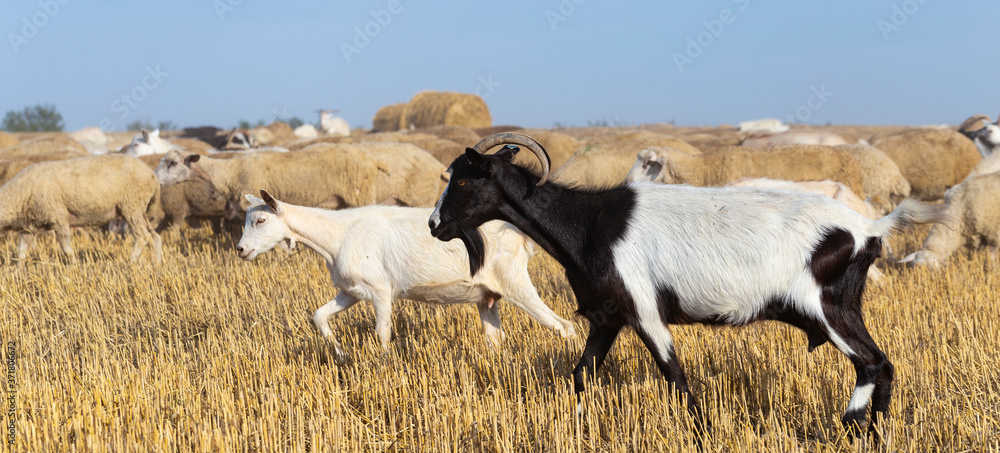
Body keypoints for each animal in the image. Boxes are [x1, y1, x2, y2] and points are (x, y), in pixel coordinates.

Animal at [0, 154, 162, 263]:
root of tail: (152, 176)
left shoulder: (58, 217)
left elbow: (66, 249)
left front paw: (74, 265)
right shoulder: (28, 227)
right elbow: (21, 252)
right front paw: (18, 272)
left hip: (132, 206)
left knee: (142, 235)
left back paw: (131, 261)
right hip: (140, 209)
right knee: (154, 236)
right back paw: (157, 263)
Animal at [236, 190, 576, 356]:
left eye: (261, 221)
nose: (240, 250)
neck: (338, 234)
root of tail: (517, 232)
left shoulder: (380, 290)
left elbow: (382, 332)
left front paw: (383, 367)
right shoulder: (351, 291)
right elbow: (319, 315)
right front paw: (341, 354)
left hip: (516, 283)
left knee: (565, 327)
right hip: (488, 297)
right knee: (496, 340)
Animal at [428, 132, 946, 441]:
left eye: (464, 182)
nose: (434, 224)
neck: (591, 224)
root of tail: (870, 227)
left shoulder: (645, 312)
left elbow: (676, 379)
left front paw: (702, 435)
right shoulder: (607, 317)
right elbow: (581, 374)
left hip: (827, 306)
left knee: (872, 363)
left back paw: (851, 425)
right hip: (842, 308)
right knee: (882, 365)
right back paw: (875, 434)